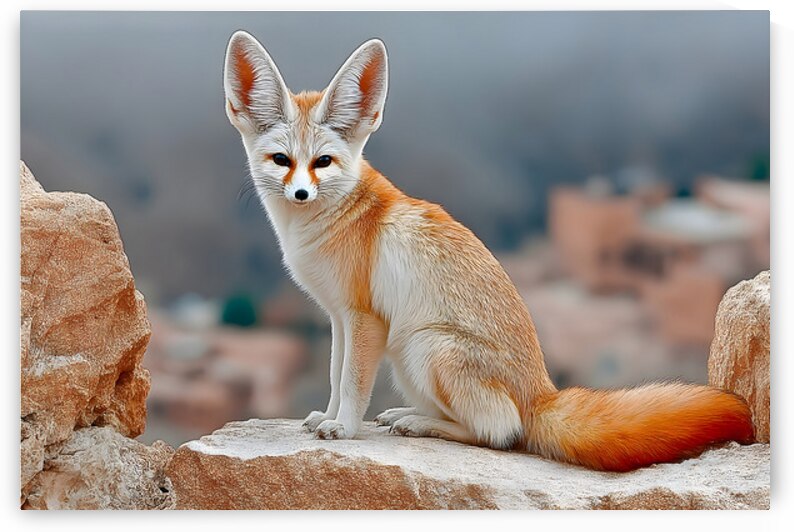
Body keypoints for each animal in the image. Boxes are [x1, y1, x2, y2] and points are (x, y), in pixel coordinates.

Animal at [222, 31, 754, 472]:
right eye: (282, 161)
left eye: (323, 162)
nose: (300, 194)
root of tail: (542, 394)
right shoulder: (338, 317)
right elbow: (336, 379)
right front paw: (325, 418)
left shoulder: (364, 319)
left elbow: (352, 384)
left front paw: (345, 430)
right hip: (408, 354)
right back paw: (411, 415)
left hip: (422, 346)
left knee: (499, 434)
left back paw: (424, 423)